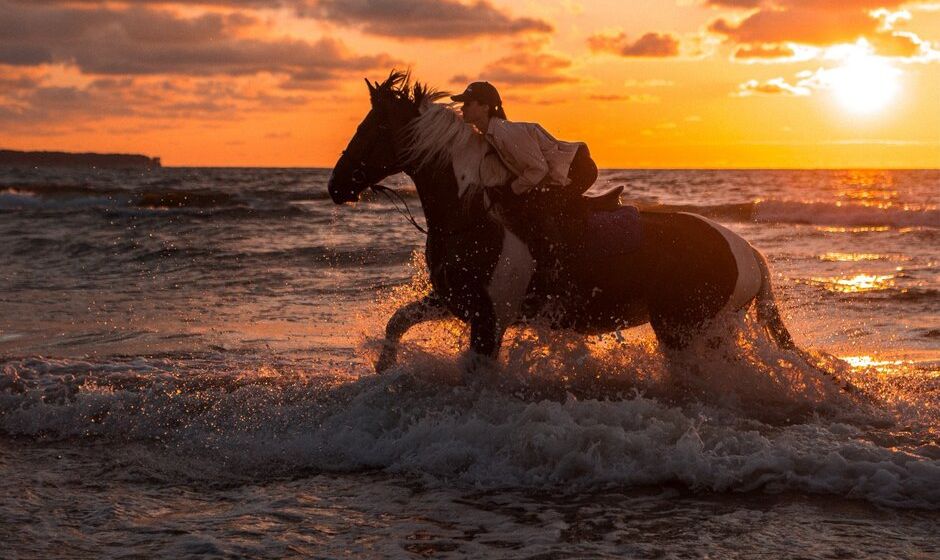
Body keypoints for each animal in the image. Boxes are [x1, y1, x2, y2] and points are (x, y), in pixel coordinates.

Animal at [326, 71, 796, 376]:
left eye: (371, 129)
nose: (335, 186)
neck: (470, 215)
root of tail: (748, 252)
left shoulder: (489, 320)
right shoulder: (456, 301)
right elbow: (397, 322)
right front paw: (384, 370)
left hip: (684, 330)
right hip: (711, 330)